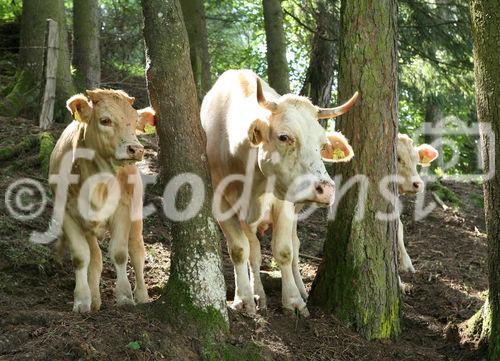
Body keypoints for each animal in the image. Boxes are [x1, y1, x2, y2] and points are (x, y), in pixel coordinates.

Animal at [49, 88, 155, 310]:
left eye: (135, 122)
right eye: (105, 120)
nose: (137, 149)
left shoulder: (123, 210)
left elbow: (120, 253)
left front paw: (124, 296)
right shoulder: (67, 213)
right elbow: (82, 257)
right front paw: (82, 300)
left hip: (136, 214)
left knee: (137, 250)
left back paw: (142, 295)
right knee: (95, 258)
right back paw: (95, 298)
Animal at [201, 68, 358, 316]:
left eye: (323, 144)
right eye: (284, 137)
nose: (326, 189)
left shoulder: (282, 202)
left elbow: (284, 251)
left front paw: (293, 301)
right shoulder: (221, 203)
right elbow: (240, 250)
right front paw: (244, 298)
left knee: (295, 246)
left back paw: (301, 290)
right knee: (254, 253)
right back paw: (259, 293)